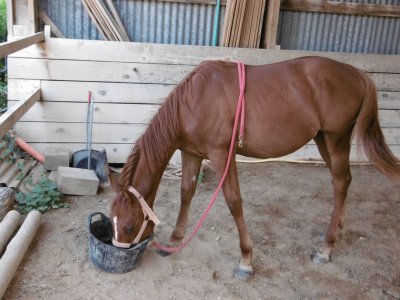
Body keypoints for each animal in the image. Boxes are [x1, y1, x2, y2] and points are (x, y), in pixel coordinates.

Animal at [110, 56, 400, 278]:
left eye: (129, 227)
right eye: (112, 220)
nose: (119, 252)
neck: (194, 101)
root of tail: (357, 74)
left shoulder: (221, 155)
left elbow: (234, 202)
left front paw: (246, 260)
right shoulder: (190, 153)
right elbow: (186, 193)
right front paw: (174, 240)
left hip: (335, 140)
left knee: (340, 183)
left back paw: (326, 248)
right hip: (323, 141)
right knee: (345, 181)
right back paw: (337, 227)